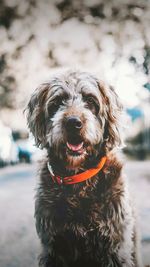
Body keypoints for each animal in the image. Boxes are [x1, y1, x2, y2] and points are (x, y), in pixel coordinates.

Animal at [26, 69, 142, 267]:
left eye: (90, 101)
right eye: (57, 103)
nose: (73, 123)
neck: (79, 180)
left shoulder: (115, 245)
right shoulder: (53, 247)